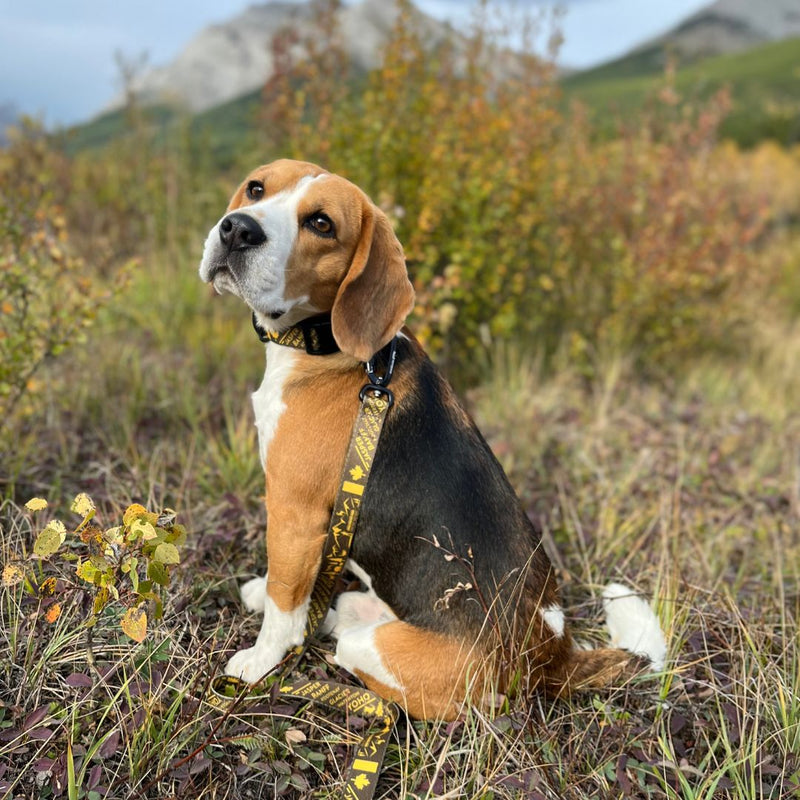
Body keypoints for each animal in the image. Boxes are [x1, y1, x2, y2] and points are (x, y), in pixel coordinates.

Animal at [198, 158, 664, 720]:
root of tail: (551, 650)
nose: (237, 229)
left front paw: (260, 661)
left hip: (381, 655)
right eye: (256, 188)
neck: (324, 348)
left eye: (322, 224)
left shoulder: (295, 512)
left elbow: (285, 600)